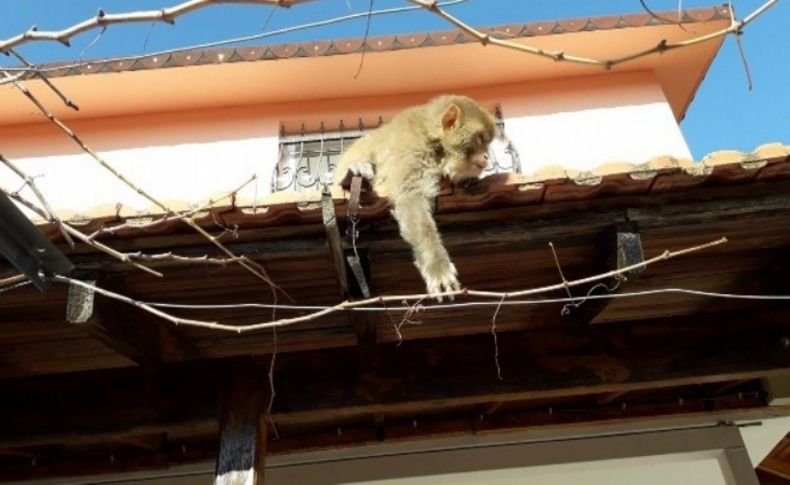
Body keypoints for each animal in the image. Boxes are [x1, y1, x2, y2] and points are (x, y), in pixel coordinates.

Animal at [336, 94, 498, 298]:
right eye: (479, 139)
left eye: (487, 142)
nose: (486, 157)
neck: (434, 141)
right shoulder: (414, 149)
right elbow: (411, 197)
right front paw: (437, 267)